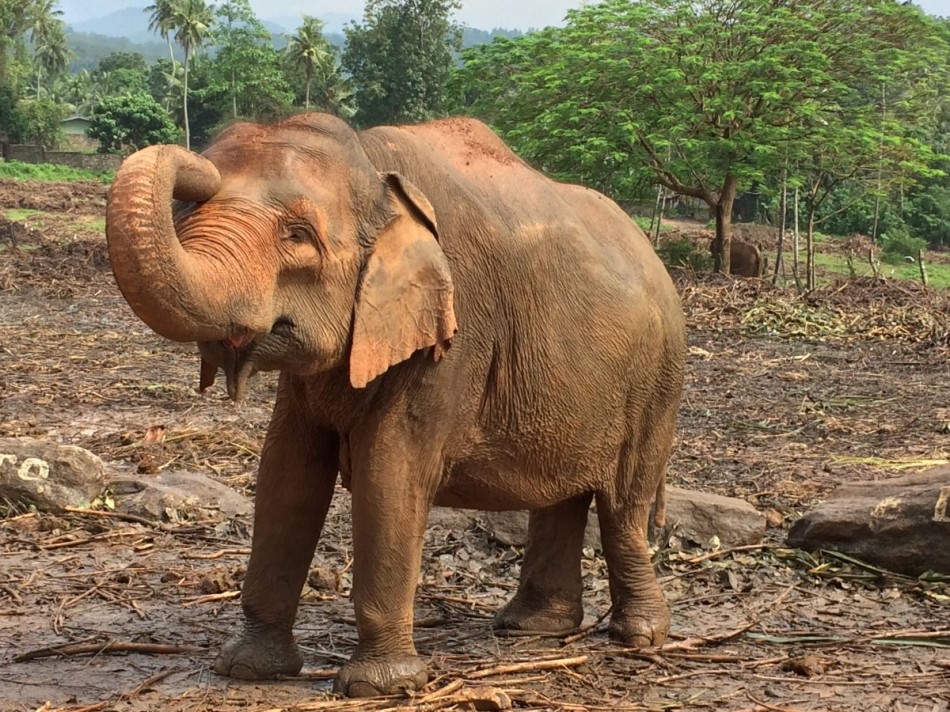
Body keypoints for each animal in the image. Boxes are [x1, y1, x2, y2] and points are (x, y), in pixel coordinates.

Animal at [104, 114, 688, 700]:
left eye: (298, 236)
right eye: (185, 214)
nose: (197, 163)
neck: (375, 167)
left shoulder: (452, 335)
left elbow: (390, 473)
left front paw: (379, 685)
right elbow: (286, 473)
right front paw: (248, 668)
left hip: (658, 381)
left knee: (624, 502)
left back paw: (638, 636)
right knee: (561, 496)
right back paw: (532, 627)